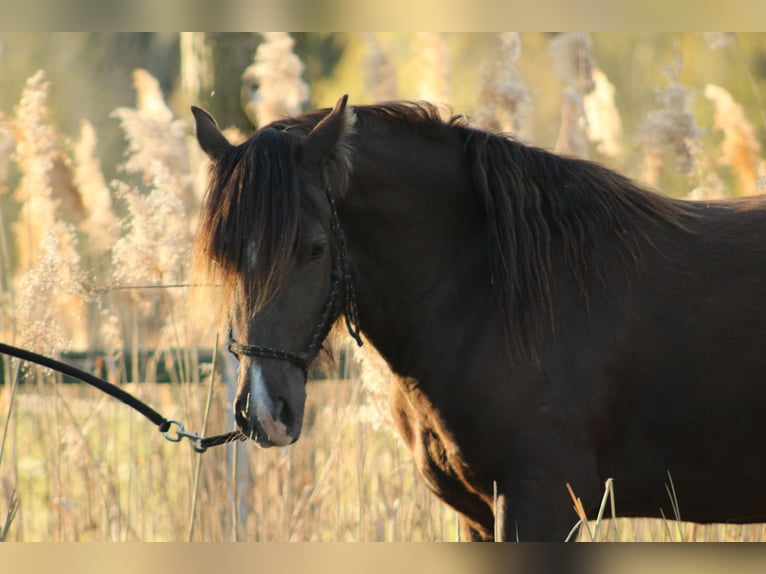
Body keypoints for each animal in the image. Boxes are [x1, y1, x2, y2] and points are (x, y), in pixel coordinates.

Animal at [194, 95, 766, 544]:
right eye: (224, 256)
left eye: (314, 249)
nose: (263, 411)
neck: (493, 296)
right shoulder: (478, 514)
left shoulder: (541, 504)